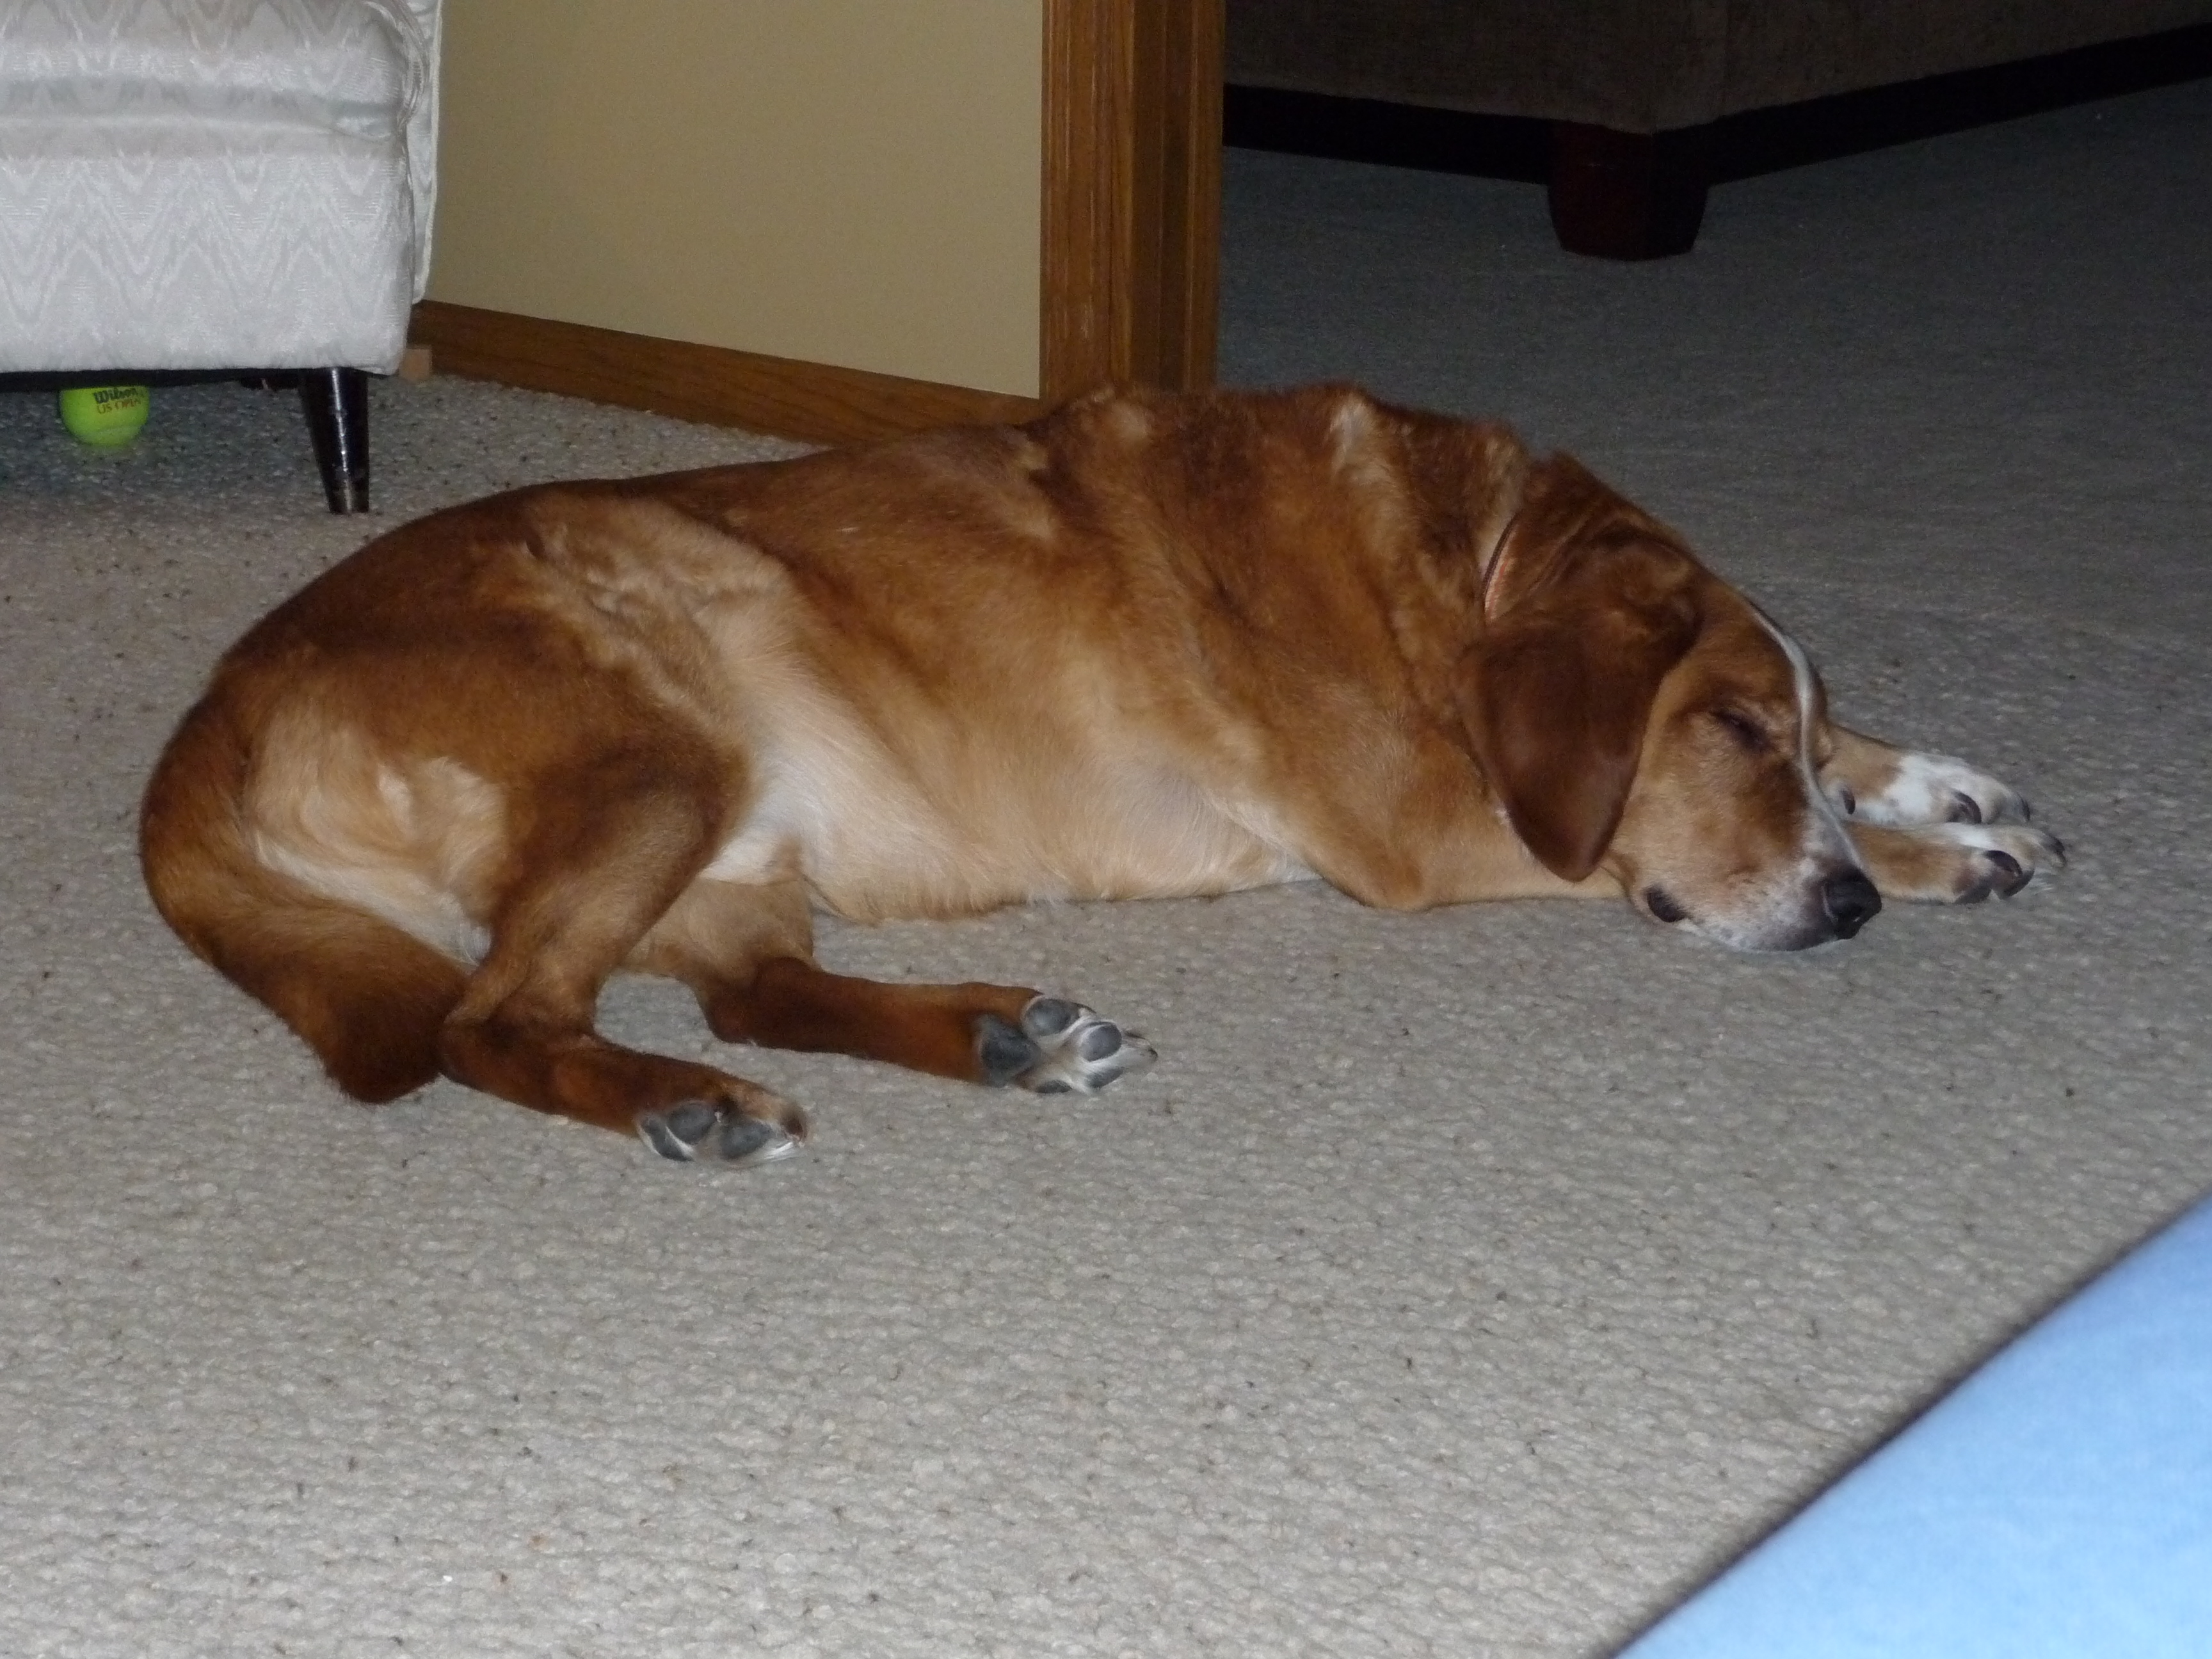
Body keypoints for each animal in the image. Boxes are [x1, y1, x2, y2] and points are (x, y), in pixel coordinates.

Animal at [141, 385, 2061, 1165]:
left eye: (1775, 728)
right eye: (1723, 730)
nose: (1838, 911)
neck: (1466, 570)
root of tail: (226, 688)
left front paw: (1940, 788)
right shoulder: (1420, 826)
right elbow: (1609, 855)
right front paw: (1912, 864)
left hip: (731, 834)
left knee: (759, 993)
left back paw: (998, 1033)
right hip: (657, 749)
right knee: (497, 1023)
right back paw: (679, 1102)